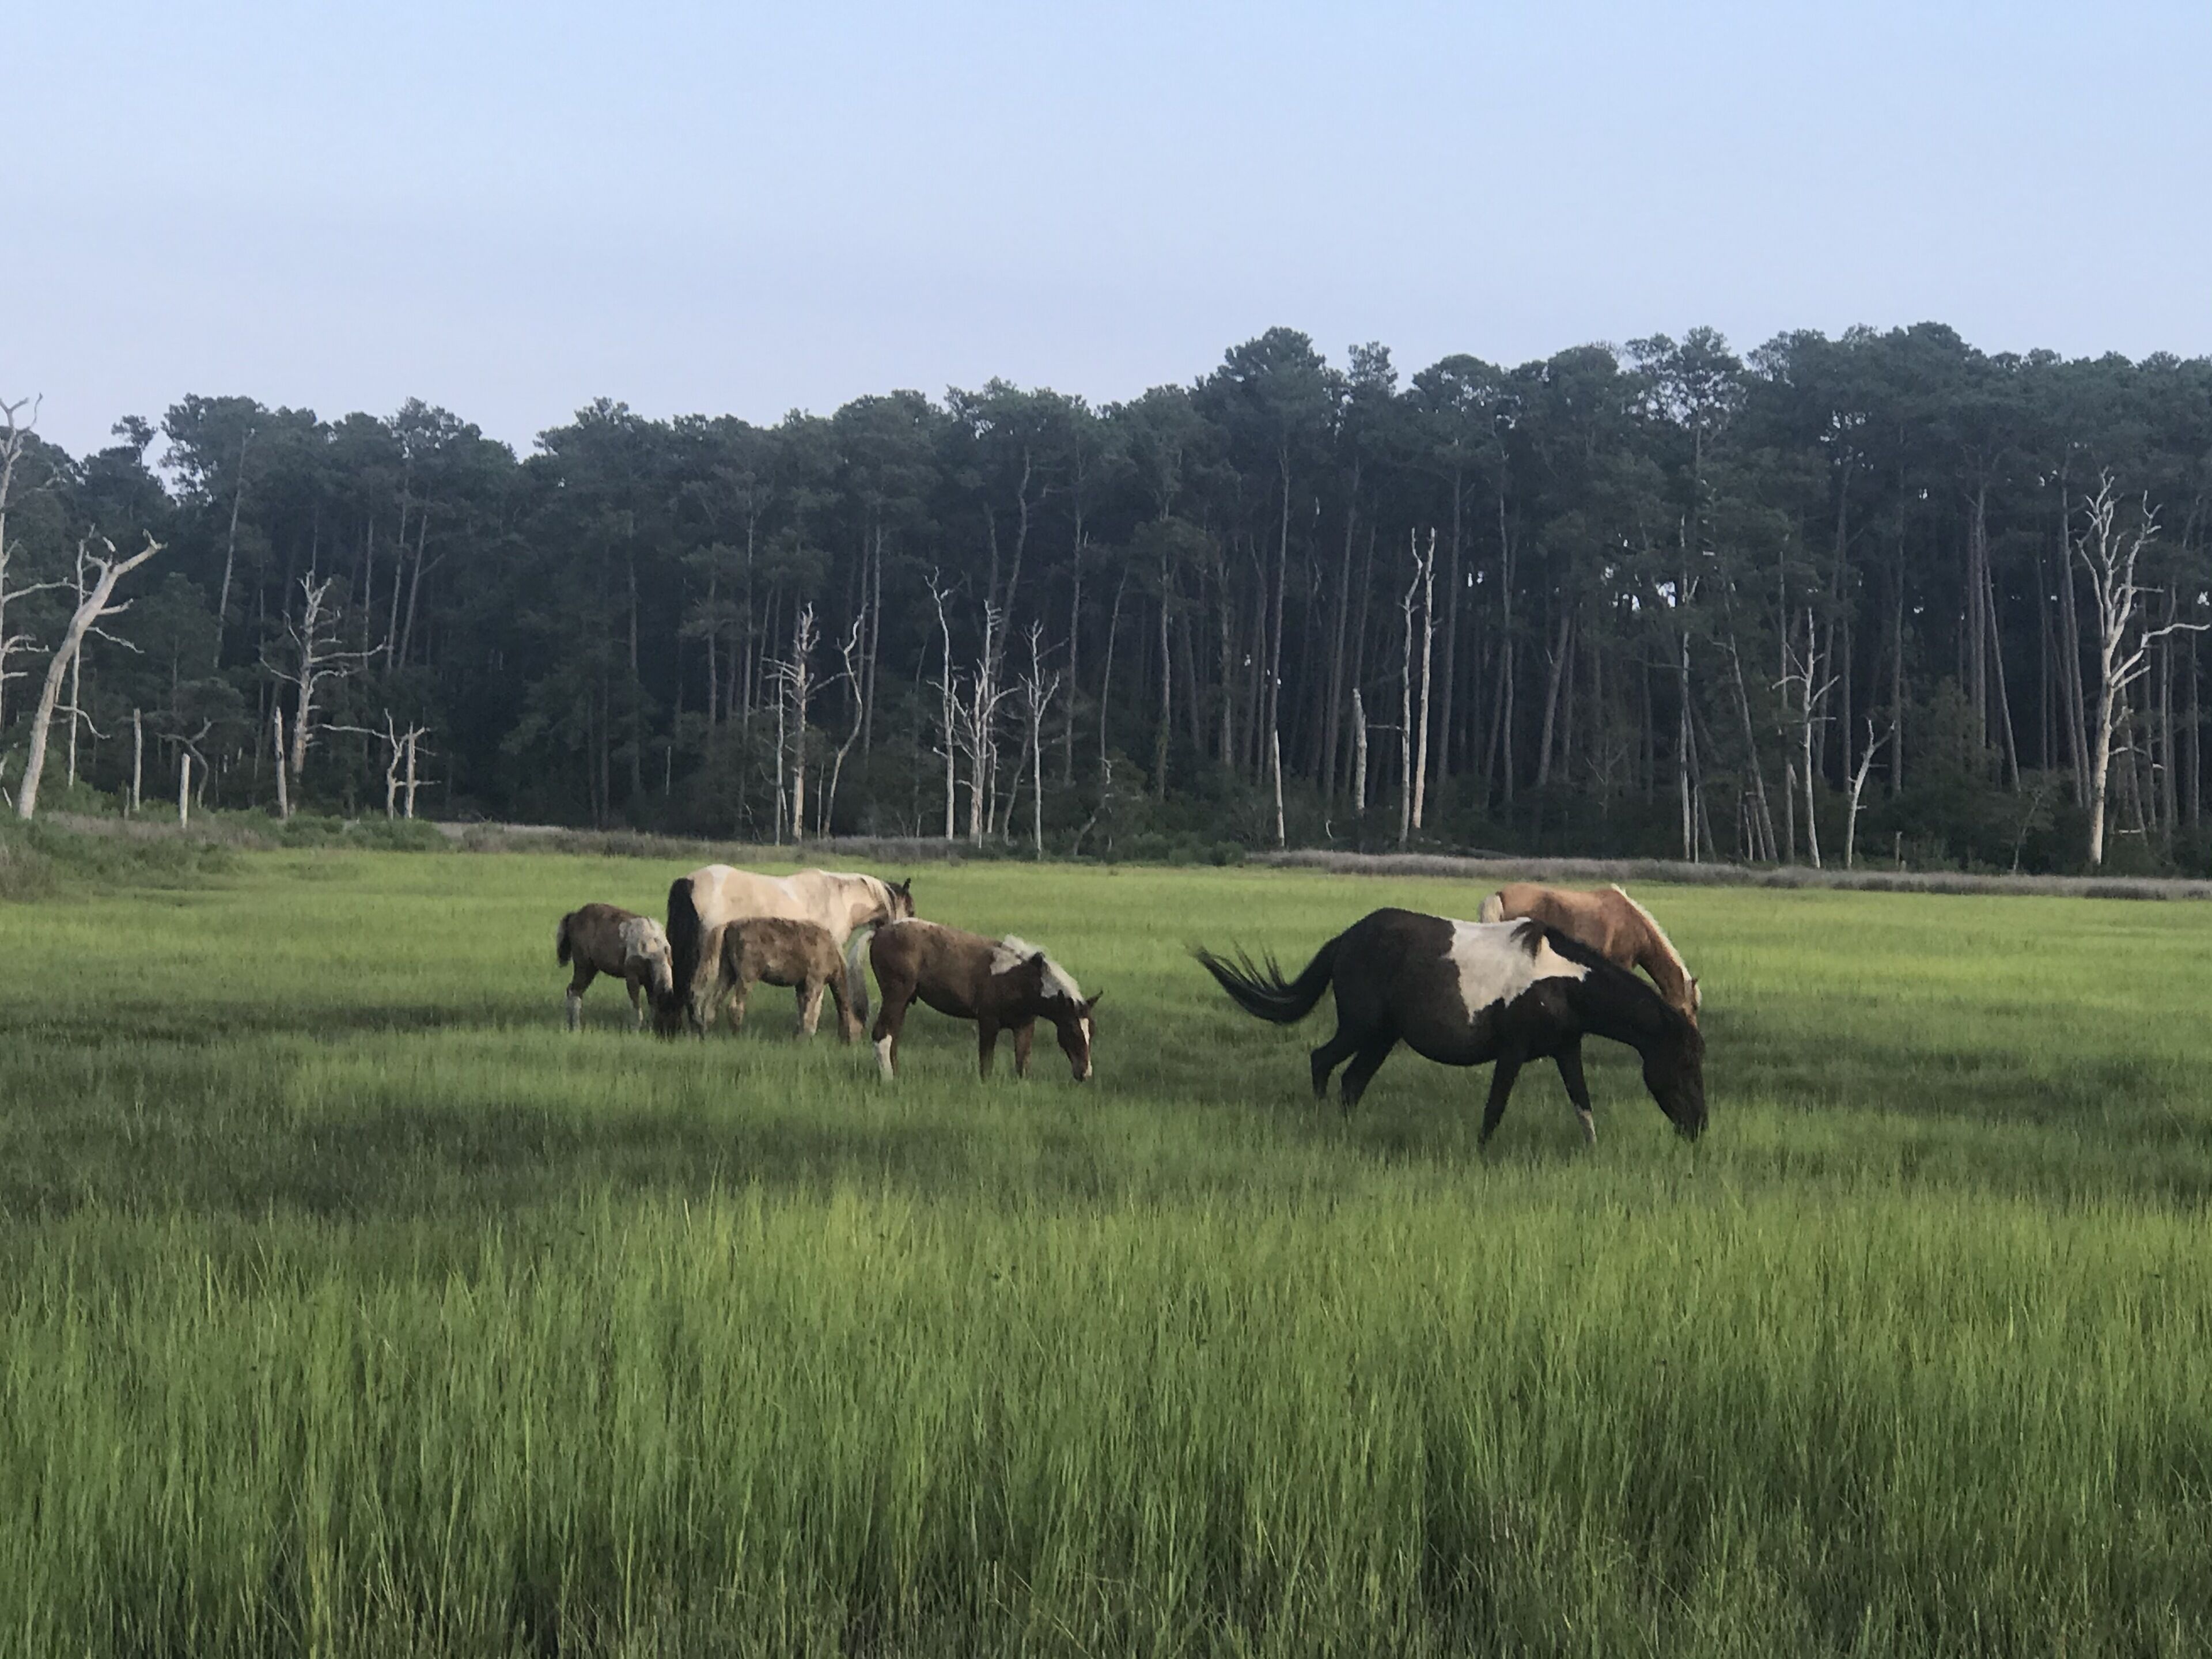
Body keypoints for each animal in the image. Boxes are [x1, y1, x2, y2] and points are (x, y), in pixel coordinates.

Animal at [554, 904, 677, 1031]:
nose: (668, 1032)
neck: (652, 948)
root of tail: (575, 915)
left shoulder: (649, 982)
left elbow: (652, 1006)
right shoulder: (632, 978)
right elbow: (637, 1008)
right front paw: (635, 1030)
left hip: (592, 969)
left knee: (572, 990)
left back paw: (570, 1024)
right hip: (584, 966)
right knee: (575, 992)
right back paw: (576, 1028)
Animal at [709, 917, 862, 1042]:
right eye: (860, 1028)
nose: (852, 1042)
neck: (832, 952)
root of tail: (729, 927)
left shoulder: (801, 985)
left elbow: (802, 1010)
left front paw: (798, 1034)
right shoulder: (815, 980)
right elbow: (809, 1012)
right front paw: (804, 1038)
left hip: (727, 973)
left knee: (712, 1004)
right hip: (747, 976)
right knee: (734, 1006)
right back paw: (737, 1035)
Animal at [867, 920, 1100, 1083]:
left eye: (1092, 1032)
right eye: (1072, 1031)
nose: (1085, 1073)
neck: (1020, 979)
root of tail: (879, 933)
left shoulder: (1024, 1026)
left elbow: (1022, 1065)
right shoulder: (988, 1022)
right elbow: (986, 1064)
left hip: (904, 1001)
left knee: (893, 1035)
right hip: (896, 996)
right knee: (882, 1035)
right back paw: (889, 1080)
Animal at [1195, 907, 1704, 1146]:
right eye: (1684, 1063)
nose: (1698, 1125)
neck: (1562, 979)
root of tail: (1346, 939)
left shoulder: (1566, 1050)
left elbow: (1584, 1107)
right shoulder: (1513, 1052)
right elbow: (1494, 1109)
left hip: (1381, 1038)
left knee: (1352, 1082)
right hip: (1361, 1028)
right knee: (1322, 1062)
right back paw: (1322, 1126)